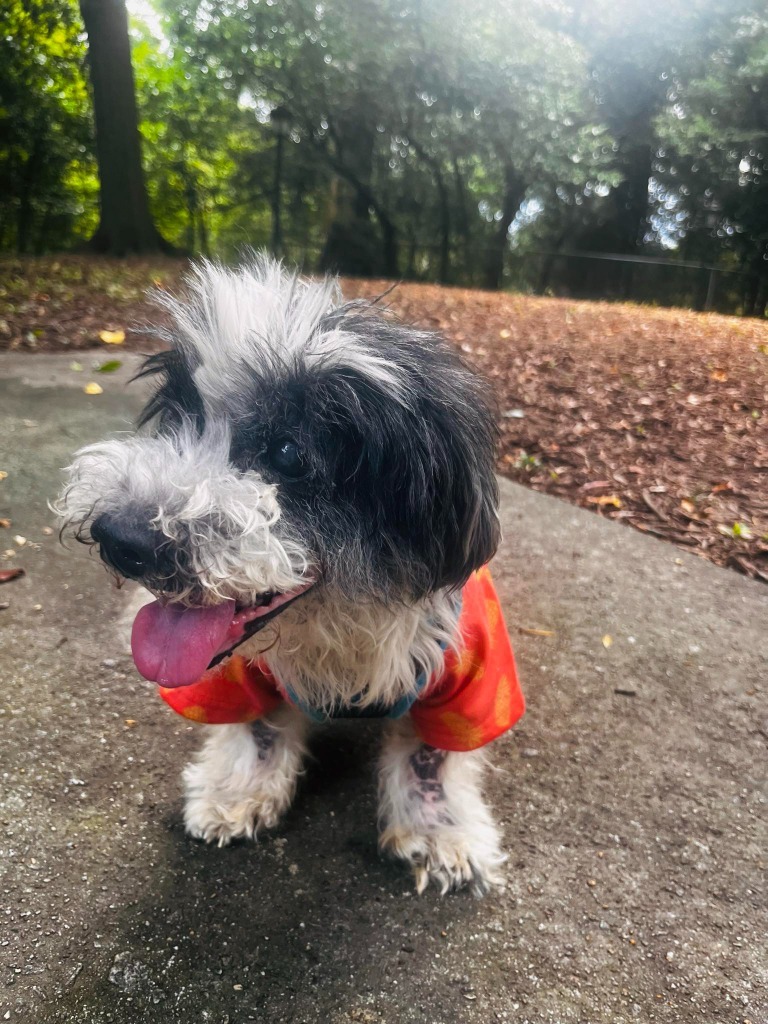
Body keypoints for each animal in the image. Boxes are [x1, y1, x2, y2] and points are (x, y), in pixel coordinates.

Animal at [57, 253, 528, 897]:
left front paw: (439, 832)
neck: (337, 628)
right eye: (181, 413)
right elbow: (257, 725)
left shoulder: (472, 678)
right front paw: (239, 792)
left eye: (288, 452)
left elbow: (431, 753)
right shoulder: (231, 674)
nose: (121, 539)